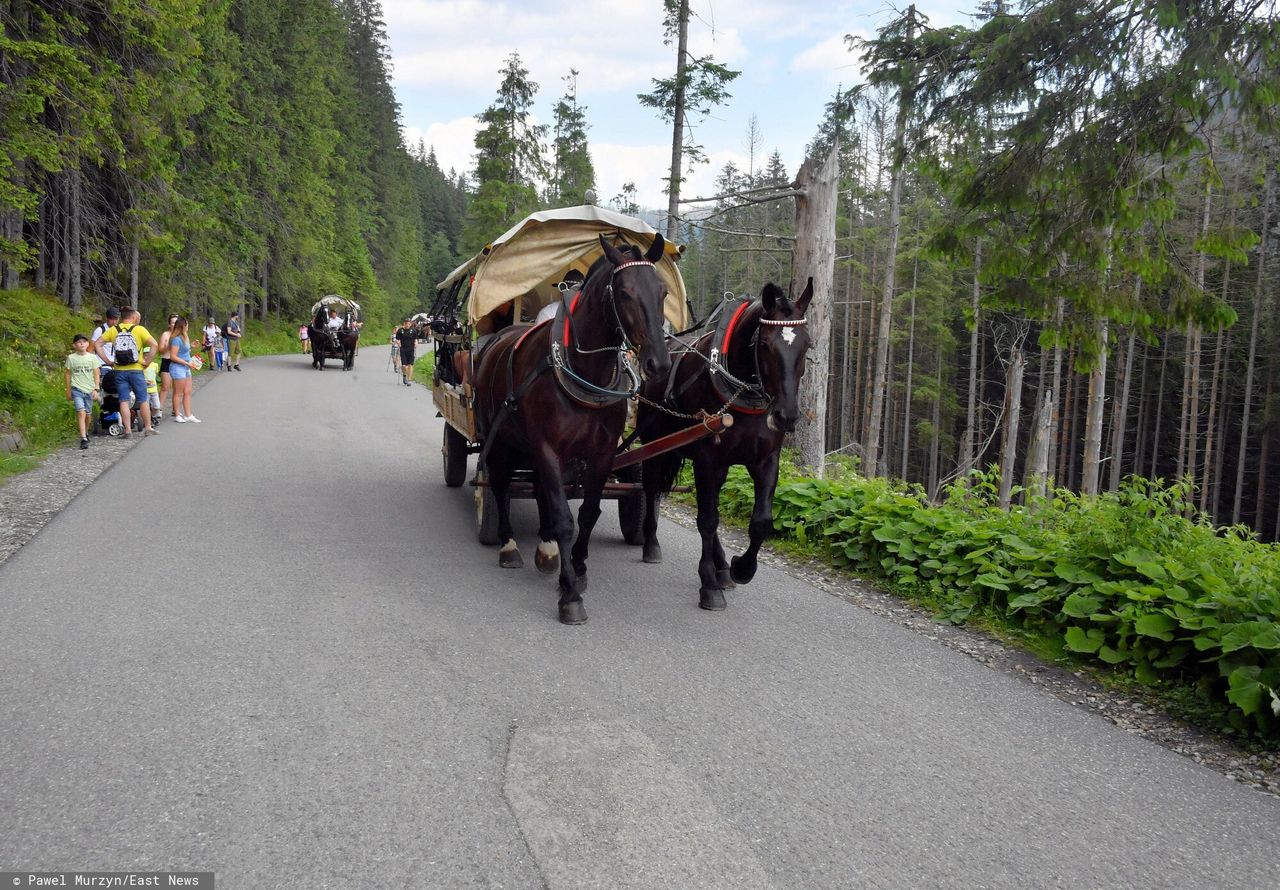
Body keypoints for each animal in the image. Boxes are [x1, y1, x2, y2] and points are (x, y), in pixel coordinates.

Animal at [471, 236, 670, 627]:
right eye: (624, 292)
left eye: (663, 291)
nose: (659, 363)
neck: (584, 371)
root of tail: (498, 338)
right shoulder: (548, 447)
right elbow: (564, 517)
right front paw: (570, 595)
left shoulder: (601, 453)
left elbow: (587, 513)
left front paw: (576, 568)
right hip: (499, 440)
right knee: (499, 485)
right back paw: (508, 545)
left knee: (538, 488)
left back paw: (546, 549)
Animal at [637, 279, 814, 612]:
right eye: (765, 344)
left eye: (807, 345)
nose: (786, 416)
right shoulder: (709, 460)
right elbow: (707, 520)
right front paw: (708, 585)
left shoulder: (766, 460)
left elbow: (760, 521)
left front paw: (741, 568)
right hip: (654, 444)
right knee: (651, 489)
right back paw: (651, 544)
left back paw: (722, 568)